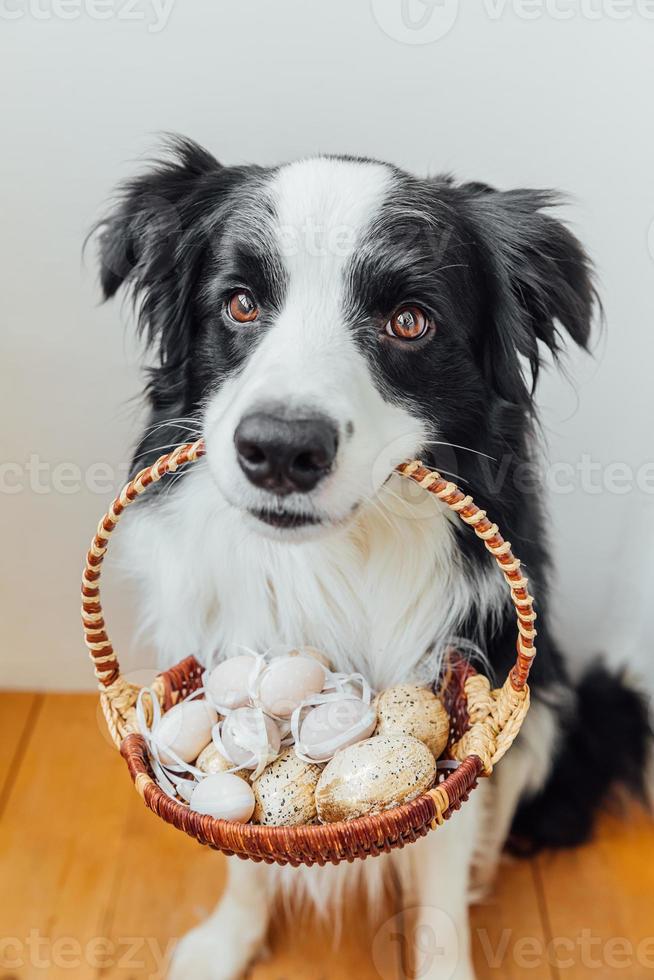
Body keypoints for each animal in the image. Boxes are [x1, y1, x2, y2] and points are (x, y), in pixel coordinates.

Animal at [96, 138, 652, 980]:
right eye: (240, 304)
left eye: (409, 321)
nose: (281, 450)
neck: (330, 561)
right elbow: (242, 863)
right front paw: (225, 943)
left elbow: (444, 880)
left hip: (552, 697)